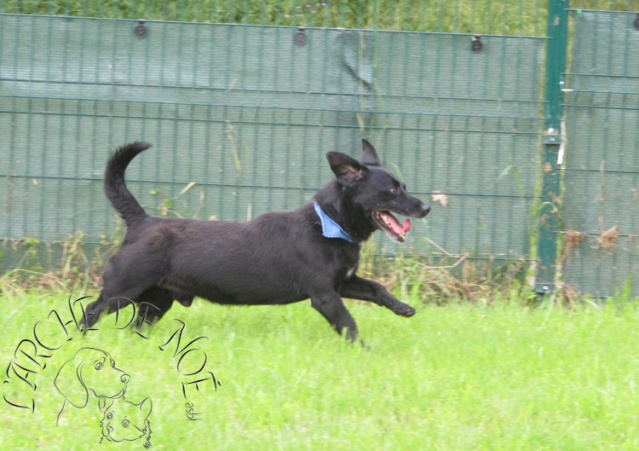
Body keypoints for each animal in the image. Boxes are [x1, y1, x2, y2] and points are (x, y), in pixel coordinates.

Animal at [81, 139, 430, 340]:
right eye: (392, 189)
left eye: (403, 185)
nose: (426, 207)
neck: (326, 223)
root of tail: (141, 220)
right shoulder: (325, 296)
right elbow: (348, 324)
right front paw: (363, 350)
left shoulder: (343, 282)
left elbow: (376, 288)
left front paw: (403, 308)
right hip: (122, 290)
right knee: (90, 311)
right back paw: (81, 343)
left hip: (156, 301)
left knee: (135, 325)